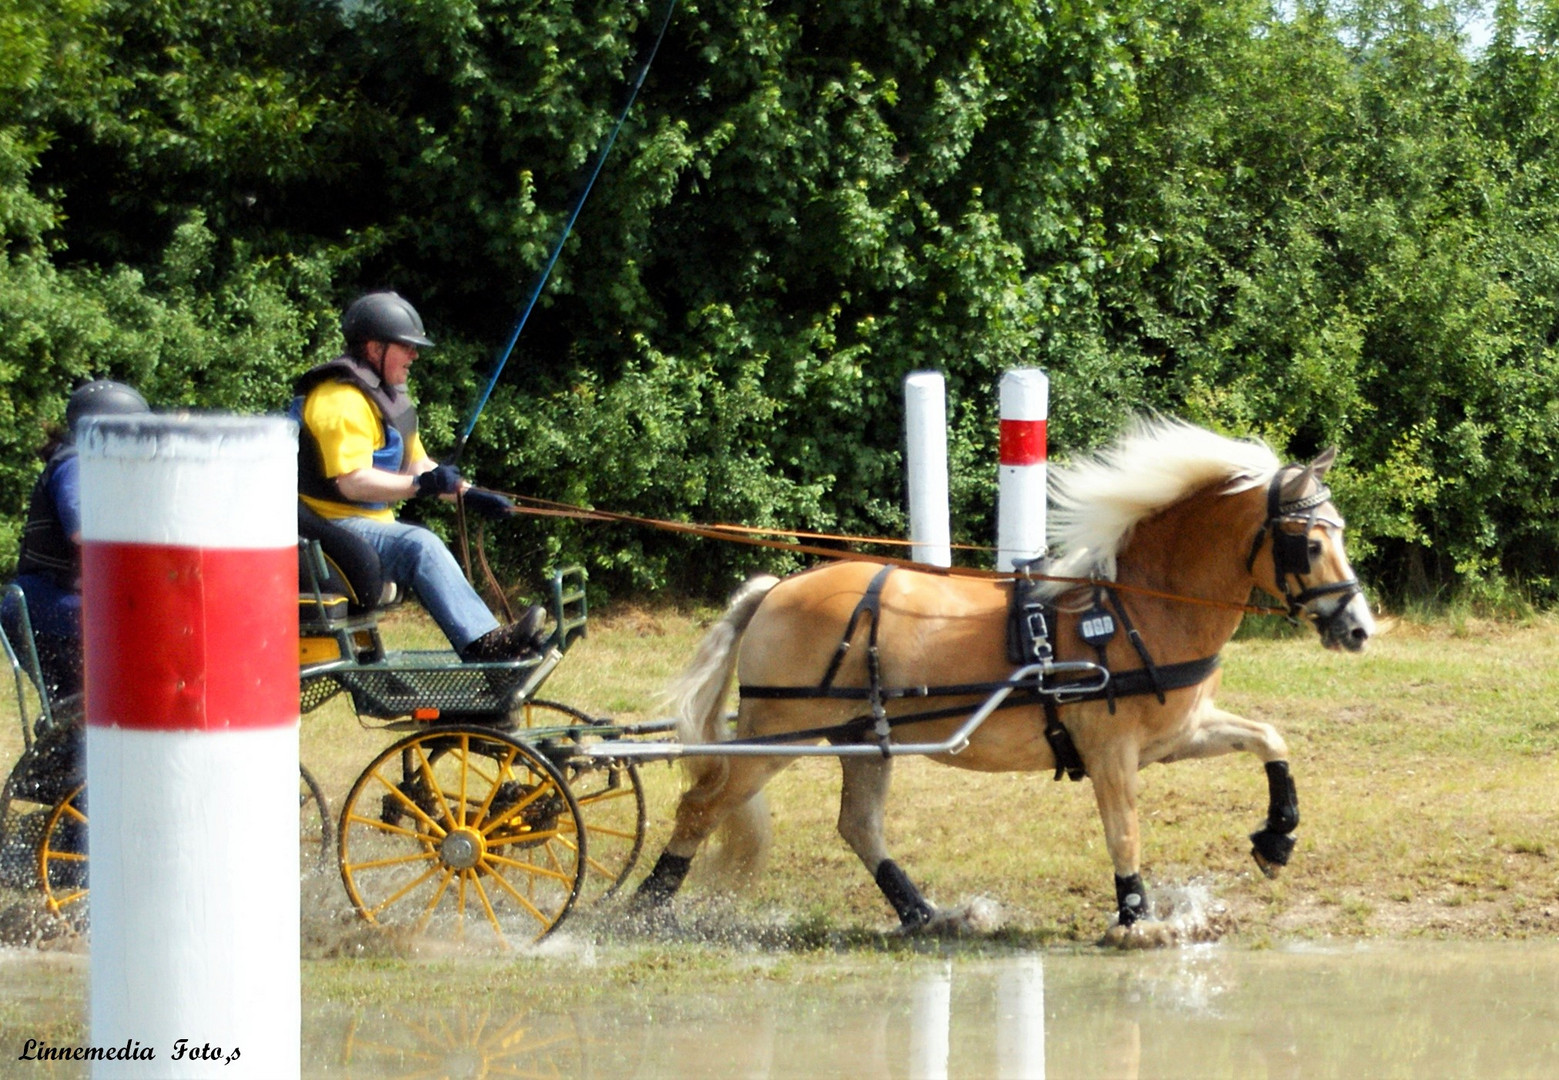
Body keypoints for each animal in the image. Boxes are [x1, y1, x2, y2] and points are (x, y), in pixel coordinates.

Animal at [626, 417, 1371, 941]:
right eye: (1309, 543)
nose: (1358, 627)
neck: (1134, 608)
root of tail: (775, 590)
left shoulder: (1176, 733)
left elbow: (1268, 738)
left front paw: (1276, 838)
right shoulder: (1110, 750)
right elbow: (1124, 832)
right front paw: (1136, 920)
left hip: (864, 737)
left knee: (858, 825)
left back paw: (925, 915)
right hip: (781, 735)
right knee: (700, 807)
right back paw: (642, 909)